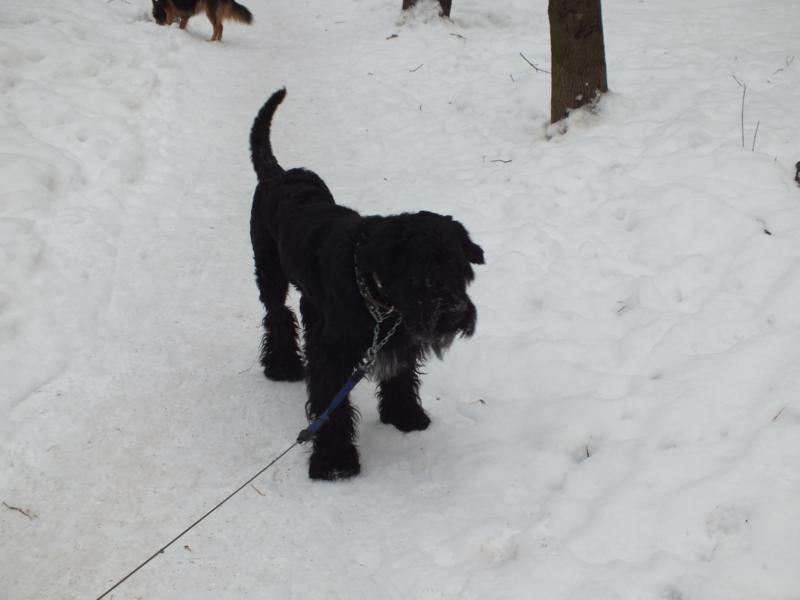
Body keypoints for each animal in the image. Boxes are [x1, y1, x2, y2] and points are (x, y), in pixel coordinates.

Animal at [249, 89, 484, 480]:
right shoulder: (334, 356)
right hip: (269, 273)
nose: (454, 313)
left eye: (460, 269)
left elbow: (400, 375)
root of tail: (278, 174)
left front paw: (405, 415)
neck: (375, 292)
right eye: (422, 273)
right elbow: (332, 406)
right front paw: (335, 461)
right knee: (277, 314)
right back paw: (282, 366)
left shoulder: (396, 335)